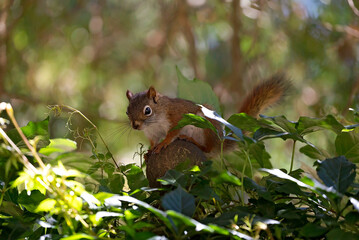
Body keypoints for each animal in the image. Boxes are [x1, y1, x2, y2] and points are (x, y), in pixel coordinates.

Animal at [126, 74, 290, 157]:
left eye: (147, 110)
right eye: (127, 111)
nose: (135, 126)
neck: (154, 122)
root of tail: (219, 143)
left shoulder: (176, 116)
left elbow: (172, 133)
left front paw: (164, 143)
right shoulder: (152, 133)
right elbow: (153, 142)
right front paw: (149, 150)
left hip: (204, 127)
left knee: (207, 149)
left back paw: (191, 140)